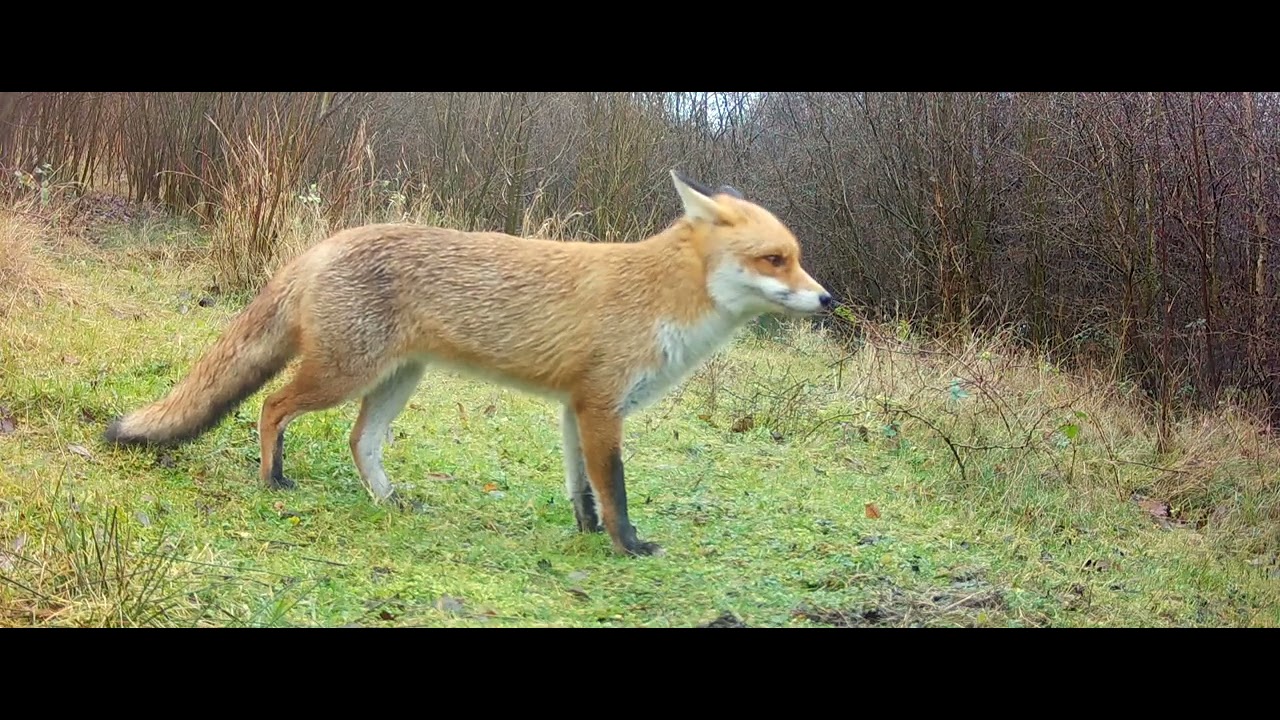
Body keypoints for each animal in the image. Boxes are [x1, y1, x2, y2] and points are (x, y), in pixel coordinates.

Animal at [104, 170, 832, 556]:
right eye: (775, 260)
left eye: (797, 258)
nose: (827, 299)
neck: (660, 299)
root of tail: (327, 242)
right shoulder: (601, 406)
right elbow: (617, 490)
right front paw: (627, 547)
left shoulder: (577, 408)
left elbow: (582, 490)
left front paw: (586, 534)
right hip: (341, 376)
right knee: (271, 405)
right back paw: (273, 479)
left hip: (396, 381)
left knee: (360, 442)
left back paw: (390, 501)